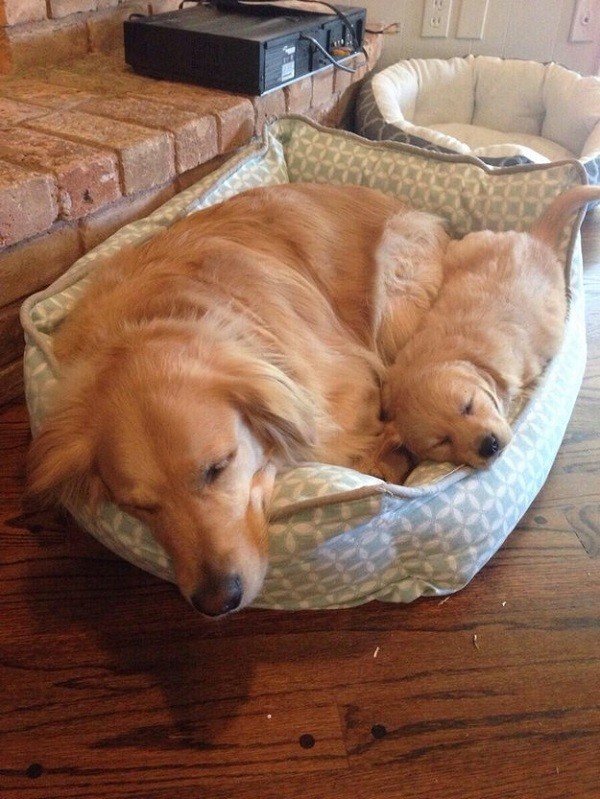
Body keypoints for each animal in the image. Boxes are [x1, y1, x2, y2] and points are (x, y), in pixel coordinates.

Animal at [27, 183, 450, 620]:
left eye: (218, 468)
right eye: (138, 506)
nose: (216, 601)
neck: (156, 320)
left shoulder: (347, 384)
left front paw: (386, 455)